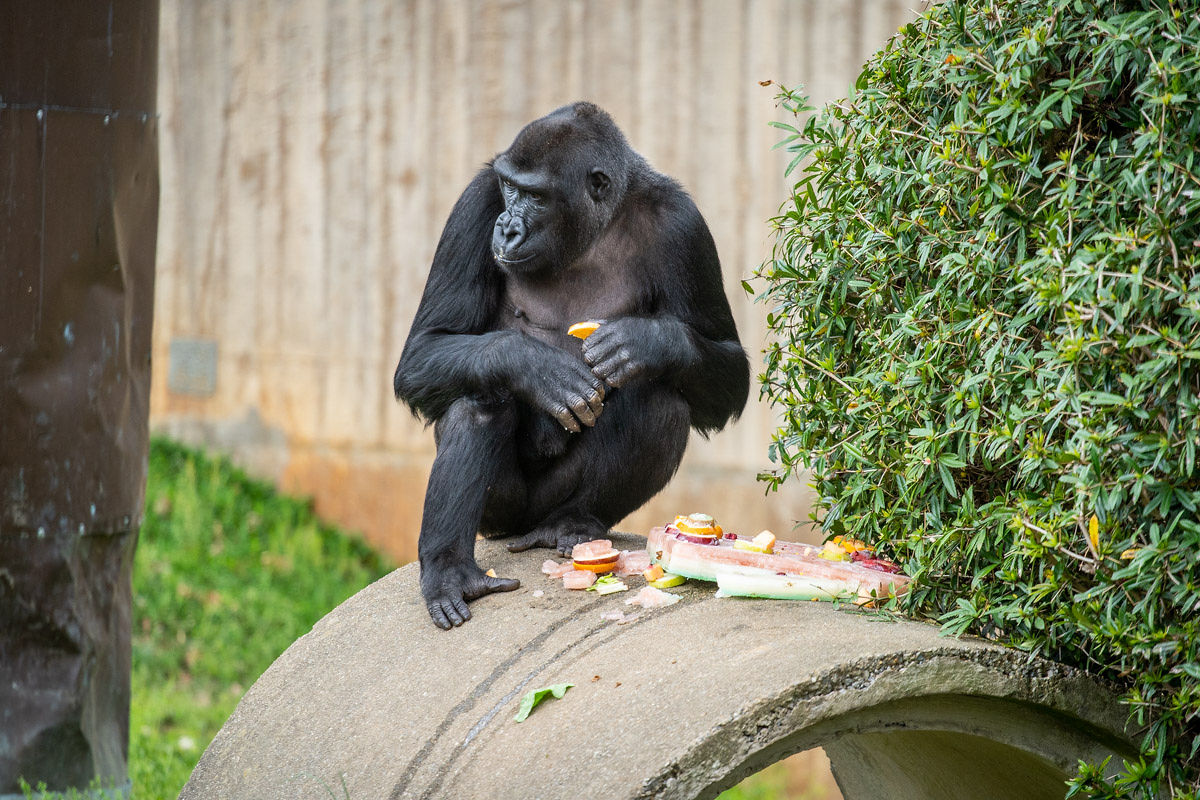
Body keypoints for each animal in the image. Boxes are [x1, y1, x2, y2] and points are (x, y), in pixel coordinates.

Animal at [398, 100, 744, 628]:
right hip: (501, 518)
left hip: (551, 509)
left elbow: (729, 366)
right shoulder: (475, 202)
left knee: (660, 401)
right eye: (509, 188)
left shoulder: (684, 227)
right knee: (480, 399)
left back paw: (572, 523)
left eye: (535, 196)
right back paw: (450, 568)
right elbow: (425, 347)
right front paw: (534, 367)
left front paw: (650, 344)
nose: (508, 226)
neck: (593, 228)